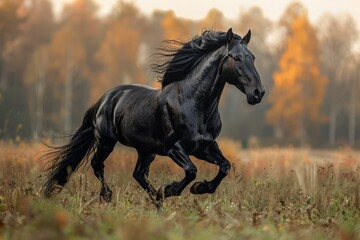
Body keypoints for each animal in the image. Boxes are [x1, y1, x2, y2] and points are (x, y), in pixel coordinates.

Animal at [42, 29, 264, 207]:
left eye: (253, 57)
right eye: (236, 57)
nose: (258, 93)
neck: (194, 104)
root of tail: (102, 99)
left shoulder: (205, 147)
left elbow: (225, 166)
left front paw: (198, 188)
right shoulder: (174, 148)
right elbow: (191, 170)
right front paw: (171, 189)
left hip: (146, 150)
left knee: (138, 174)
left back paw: (156, 200)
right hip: (107, 141)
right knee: (98, 165)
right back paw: (109, 196)